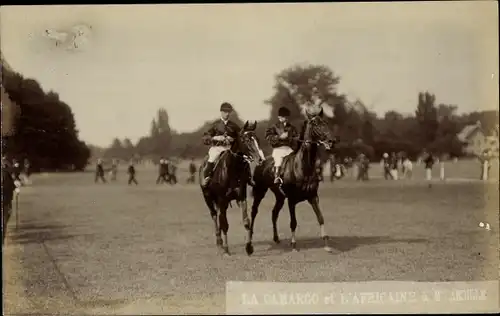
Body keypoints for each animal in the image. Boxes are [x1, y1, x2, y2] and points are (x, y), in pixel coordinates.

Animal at [199, 119, 266, 256]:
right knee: (215, 216)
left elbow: (246, 222)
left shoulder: (241, 197)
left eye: (257, 138)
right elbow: (224, 224)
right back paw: (219, 243)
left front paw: (249, 247)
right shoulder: (222, 200)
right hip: (208, 199)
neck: (232, 170)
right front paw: (226, 248)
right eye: (246, 140)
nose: (261, 159)